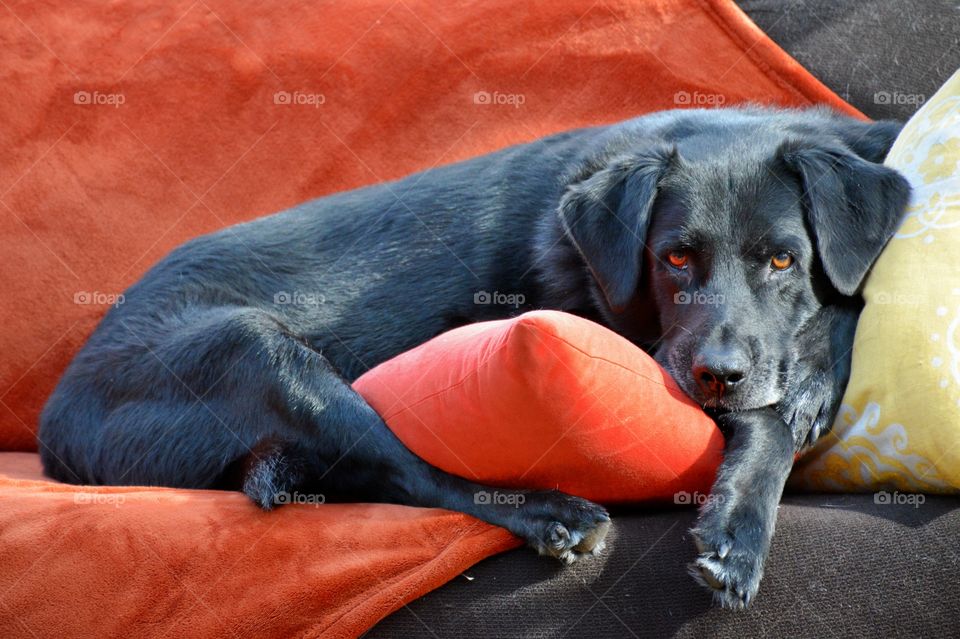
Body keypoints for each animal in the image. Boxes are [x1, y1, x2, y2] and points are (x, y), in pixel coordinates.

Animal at [37, 109, 908, 608]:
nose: (716, 377)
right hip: (253, 348)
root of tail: (53, 424)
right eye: (674, 259)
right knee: (411, 475)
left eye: (784, 259)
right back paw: (550, 512)